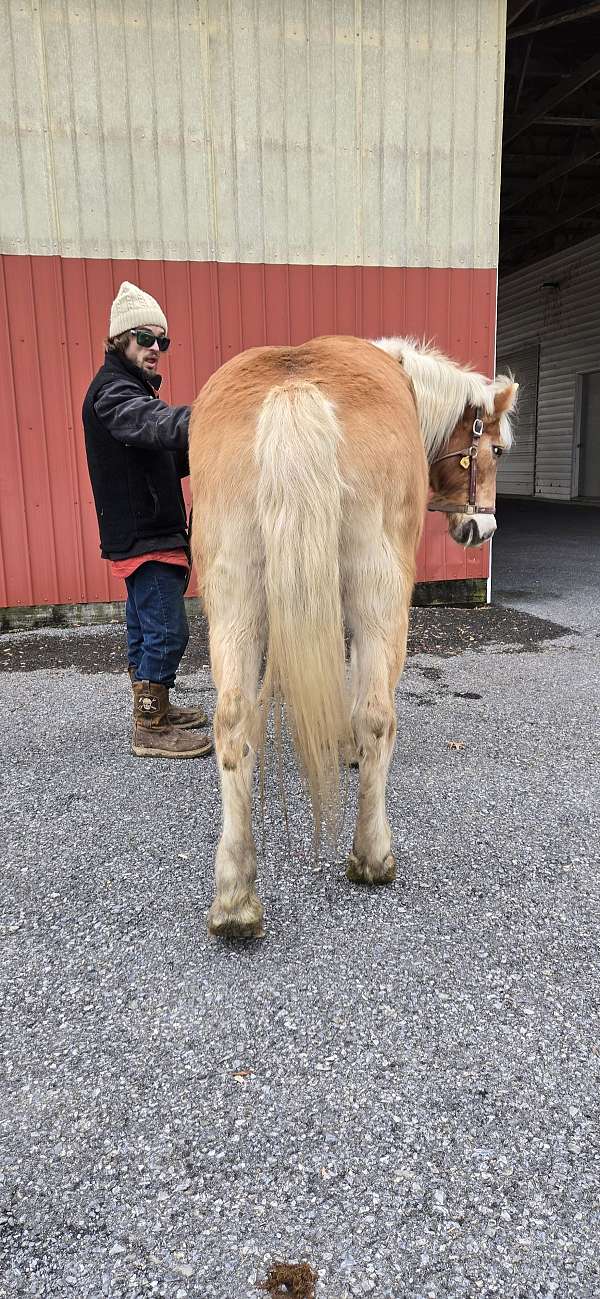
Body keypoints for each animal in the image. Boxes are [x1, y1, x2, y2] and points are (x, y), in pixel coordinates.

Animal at [188, 332, 516, 935]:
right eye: (497, 450)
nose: (480, 529)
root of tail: (294, 386)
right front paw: (347, 751)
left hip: (233, 593)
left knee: (233, 725)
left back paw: (235, 900)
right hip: (380, 587)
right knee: (377, 713)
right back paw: (372, 857)